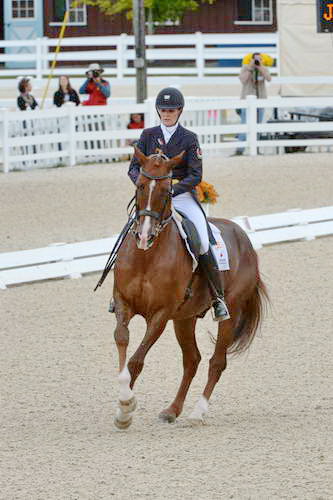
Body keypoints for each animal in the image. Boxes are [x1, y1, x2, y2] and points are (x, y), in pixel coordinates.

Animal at [111, 148, 268, 430]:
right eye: (140, 185)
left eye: (167, 191)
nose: (144, 236)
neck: (146, 256)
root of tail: (244, 238)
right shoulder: (123, 302)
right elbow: (122, 340)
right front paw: (123, 406)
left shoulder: (160, 315)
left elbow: (136, 360)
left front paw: (126, 409)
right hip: (184, 319)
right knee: (192, 360)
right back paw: (172, 410)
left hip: (230, 312)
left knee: (217, 362)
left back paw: (198, 412)